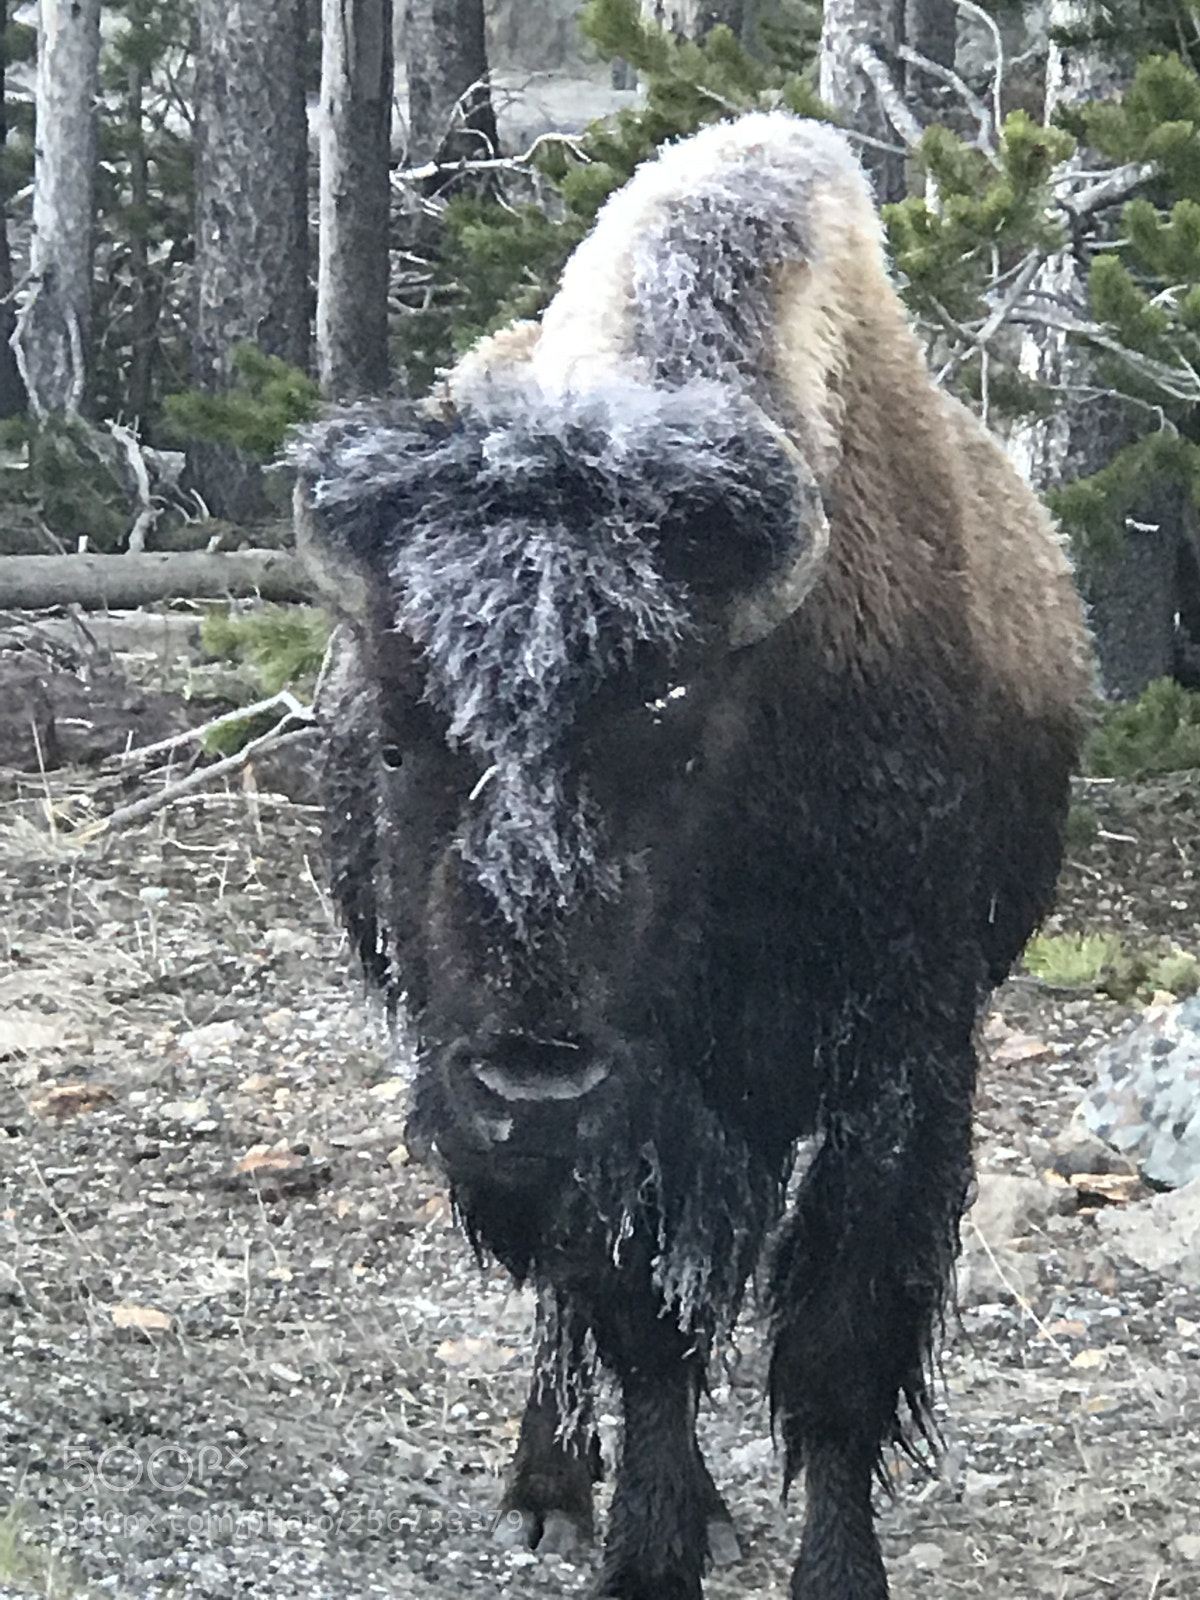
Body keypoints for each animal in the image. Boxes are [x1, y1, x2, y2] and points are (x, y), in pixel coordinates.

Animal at [293, 113, 1092, 1600]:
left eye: (680, 727)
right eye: (397, 739)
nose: (530, 1083)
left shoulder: (898, 1068)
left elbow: (837, 1351)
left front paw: (834, 1572)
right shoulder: (642, 1123)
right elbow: (643, 1328)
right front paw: (650, 1550)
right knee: (573, 1301)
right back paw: (549, 1492)